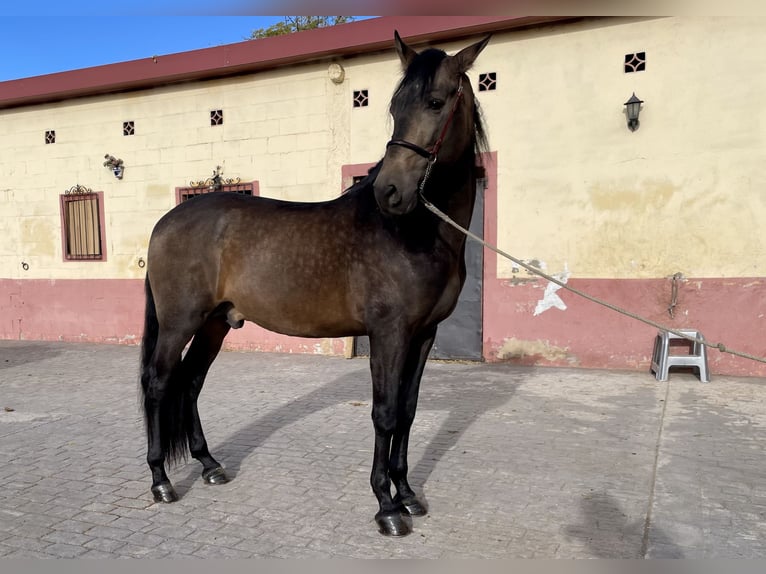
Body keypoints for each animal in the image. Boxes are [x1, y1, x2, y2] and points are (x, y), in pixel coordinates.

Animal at [139, 29, 492, 536]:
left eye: (436, 102)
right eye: (394, 106)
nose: (390, 192)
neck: (415, 232)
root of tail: (166, 220)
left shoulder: (424, 335)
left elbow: (407, 412)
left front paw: (407, 495)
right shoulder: (389, 334)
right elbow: (385, 413)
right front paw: (386, 507)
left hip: (215, 323)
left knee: (190, 382)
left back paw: (209, 465)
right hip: (178, 322)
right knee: (158, 383)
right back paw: (160, 481)